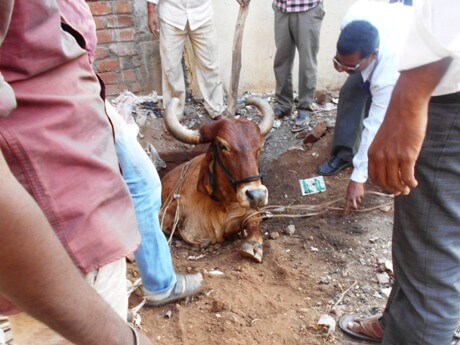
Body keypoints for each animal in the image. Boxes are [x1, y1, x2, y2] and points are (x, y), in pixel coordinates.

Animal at [161, 98, 274, 262]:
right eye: (223, 146)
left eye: (259, 147)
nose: (257, 195)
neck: (220, 204)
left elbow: (253, 220)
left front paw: (253, 245)